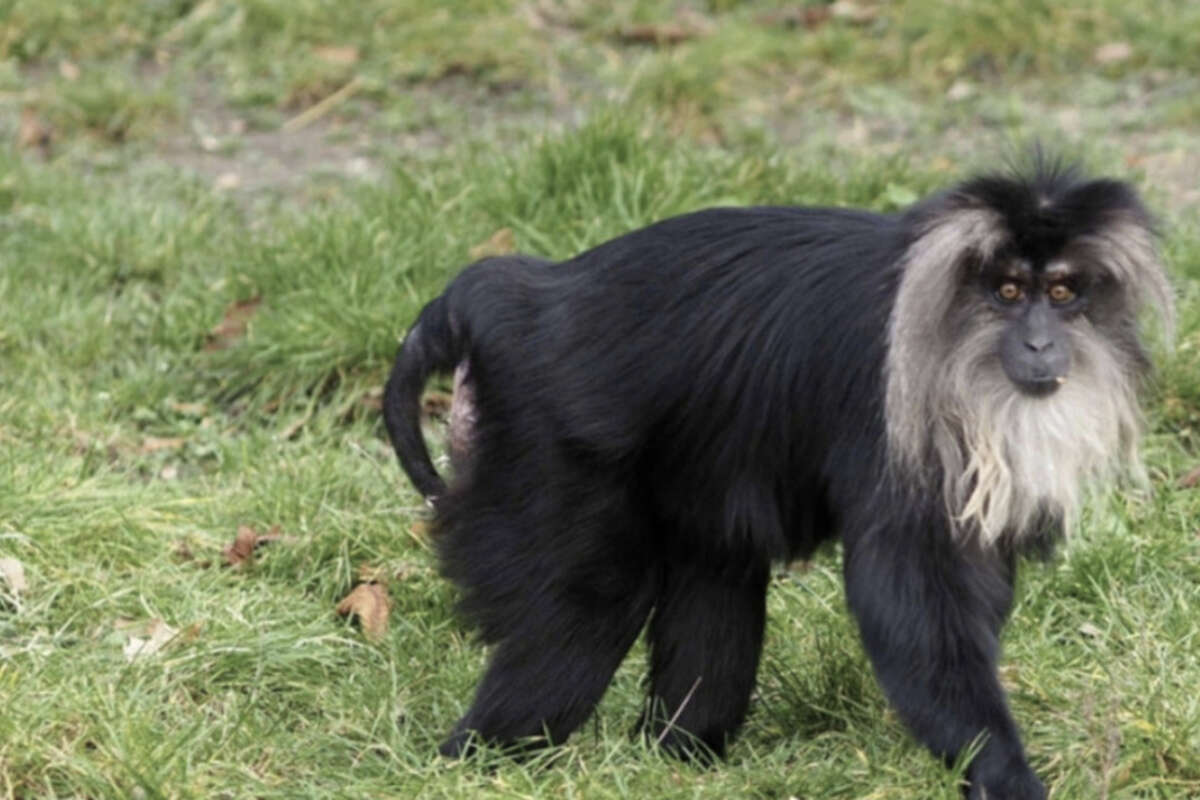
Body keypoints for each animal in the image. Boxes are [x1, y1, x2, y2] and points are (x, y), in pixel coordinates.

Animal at [381, 159, 1171, 796]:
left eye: (1062, 293)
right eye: (1007, 291)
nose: (1040, 343)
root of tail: (511, 297)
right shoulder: (890, 418)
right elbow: (907, 600)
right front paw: (1003, 771)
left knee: (716, 575)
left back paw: (675, 756)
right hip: (543, 442)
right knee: (588, 607)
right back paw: (479, 757)